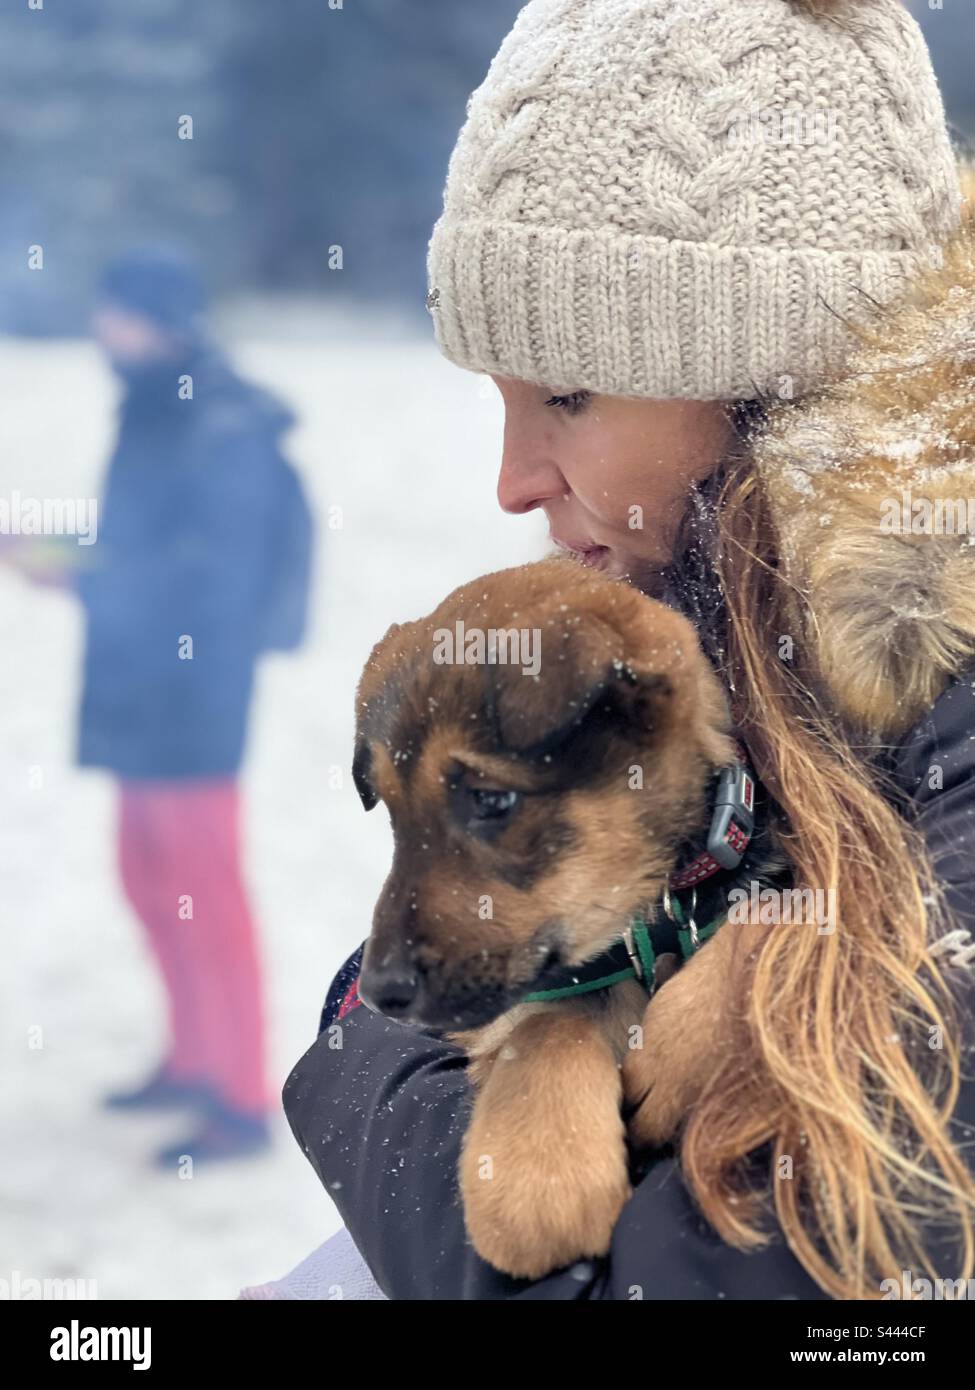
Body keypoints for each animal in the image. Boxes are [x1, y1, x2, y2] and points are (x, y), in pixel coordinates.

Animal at [353, 558, 756, 1273]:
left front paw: (675, 1050)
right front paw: (539, 1176)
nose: (375, 993)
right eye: (395, 817)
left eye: (491, 799)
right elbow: (545, 1022)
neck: (648, 926)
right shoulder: (521, 1004)